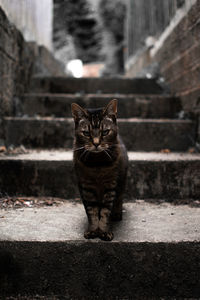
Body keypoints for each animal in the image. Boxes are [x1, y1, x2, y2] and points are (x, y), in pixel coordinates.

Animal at [71, 99, 128, 241]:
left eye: (105, 132)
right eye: (86, 133)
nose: (96, 143)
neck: (97, 164)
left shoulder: (111, 186)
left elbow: (105, 212)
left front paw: (104, 231)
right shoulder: (86, 187)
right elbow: (92, 211)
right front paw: (92, 230)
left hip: (123, 182)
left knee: (120, 199)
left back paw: (117, 213)